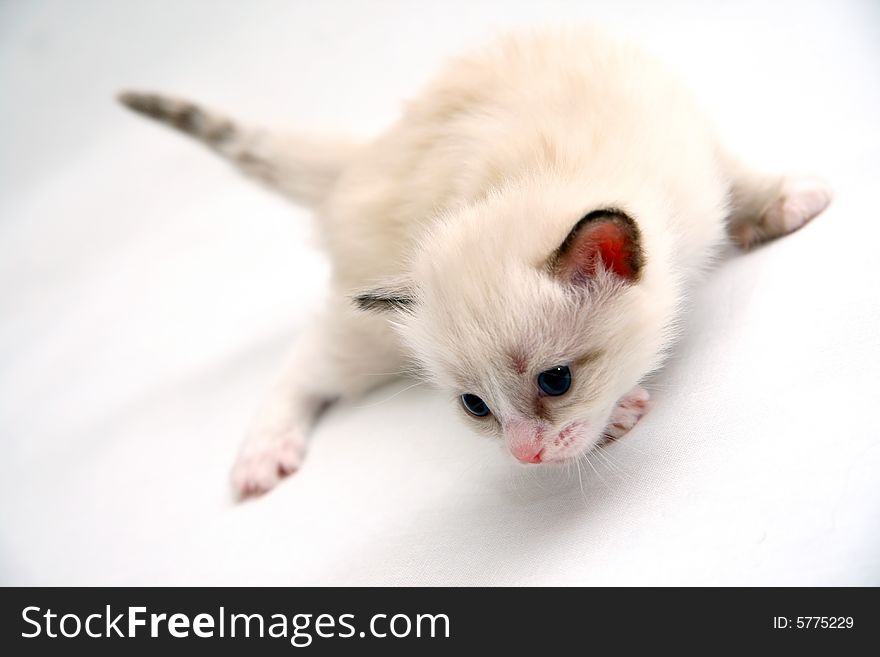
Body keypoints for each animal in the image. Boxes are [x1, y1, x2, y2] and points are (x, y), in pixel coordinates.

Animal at [120, 26, 828, 498]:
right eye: (475, 407)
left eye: (555, 382)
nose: (526, 457)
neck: (538, 171)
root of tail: (356, 165)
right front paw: (621, 412)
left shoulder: (689, 149)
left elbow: (736, 172)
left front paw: (784, 202)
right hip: (368, 329)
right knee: (306, 362)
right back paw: (262, 454)